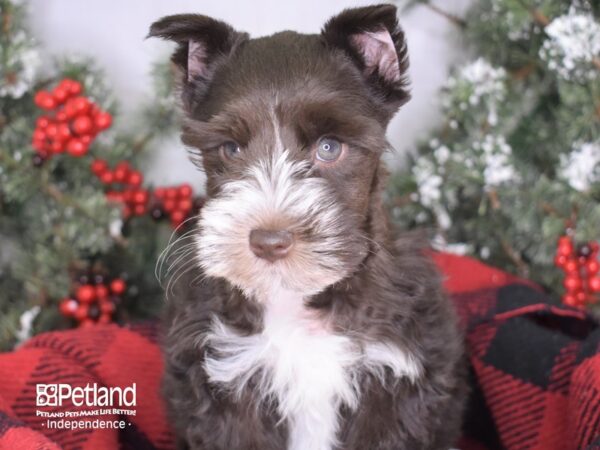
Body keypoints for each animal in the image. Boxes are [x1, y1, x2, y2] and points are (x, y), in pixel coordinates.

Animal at [149, 4, 464, 450]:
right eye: (231, 149)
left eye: (329, 147)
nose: (269, 241)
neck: (297, 298)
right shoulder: (223, 379)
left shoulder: (396, 381)